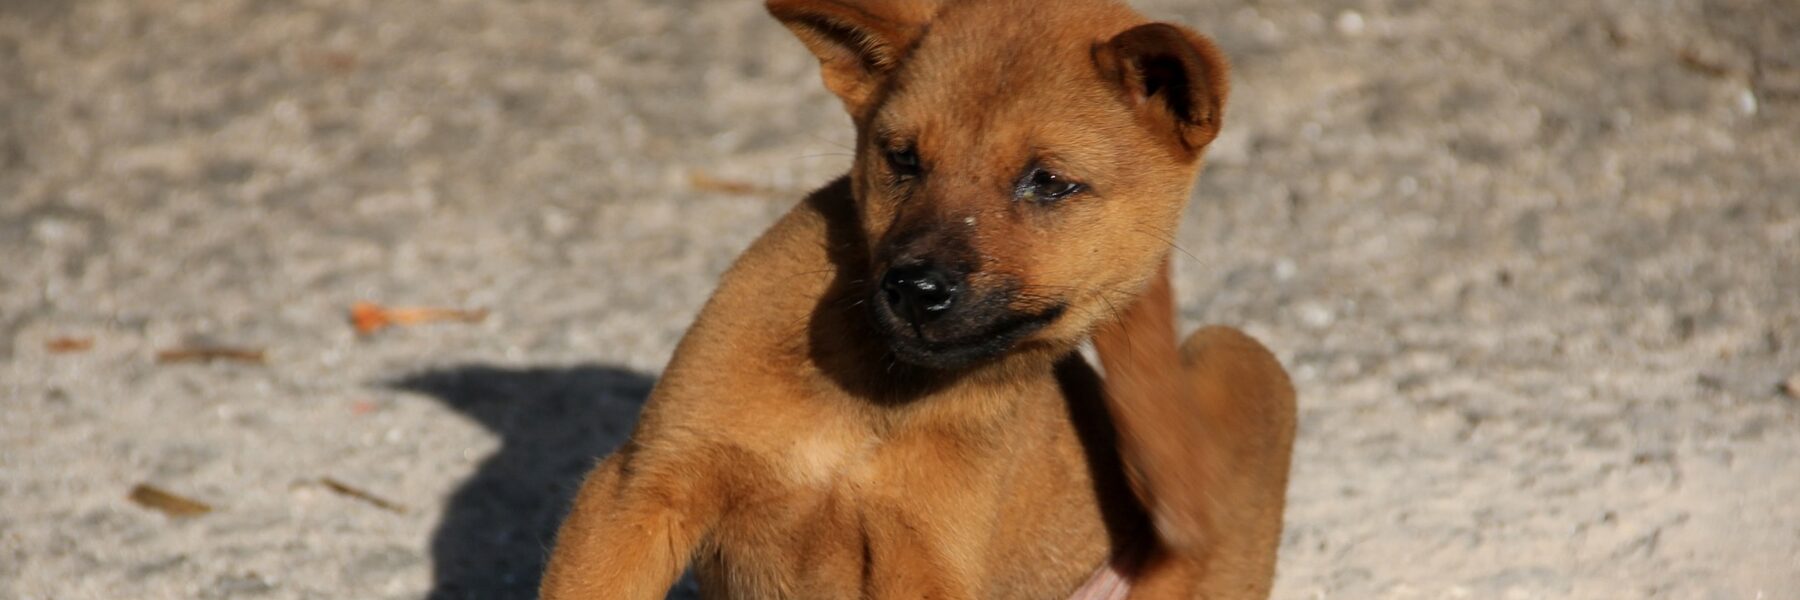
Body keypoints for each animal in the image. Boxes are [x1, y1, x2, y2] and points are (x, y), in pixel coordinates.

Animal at [540, 2, 1303, 594]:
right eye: (902, 159)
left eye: (1050, 183)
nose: (915, 288)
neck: (875, 401)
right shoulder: (637, 492)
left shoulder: (927, 563)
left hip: (1238, 359)